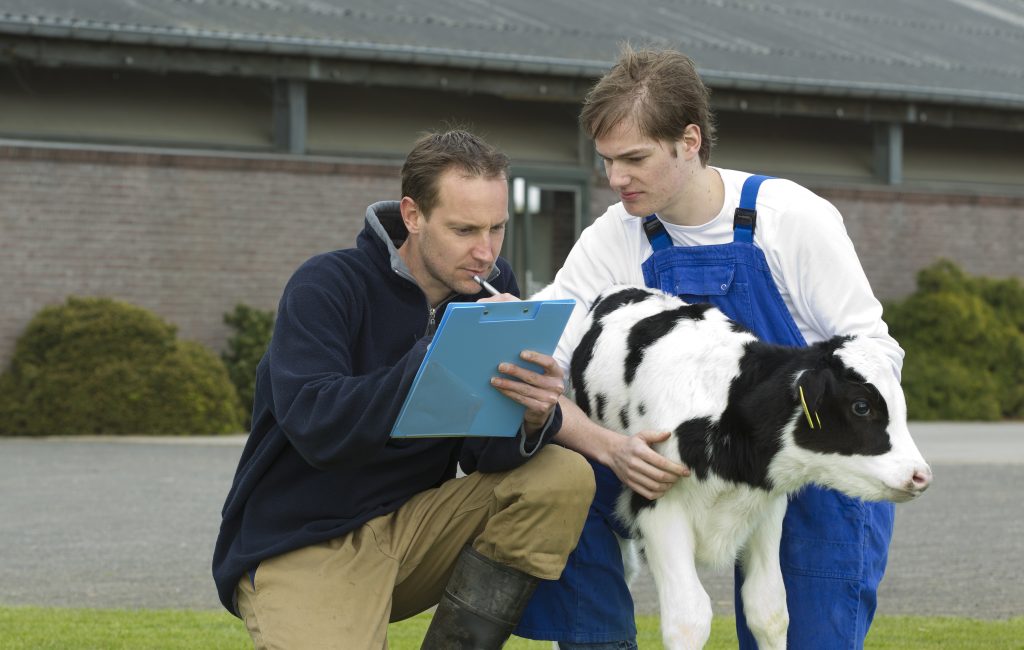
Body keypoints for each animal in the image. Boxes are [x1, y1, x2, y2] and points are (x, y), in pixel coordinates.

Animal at [573, 286, 933, 650]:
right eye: (861, 406)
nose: (921, 475)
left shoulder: (765, 509)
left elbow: (769, 610)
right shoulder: (657, 505)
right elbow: (688, 618)